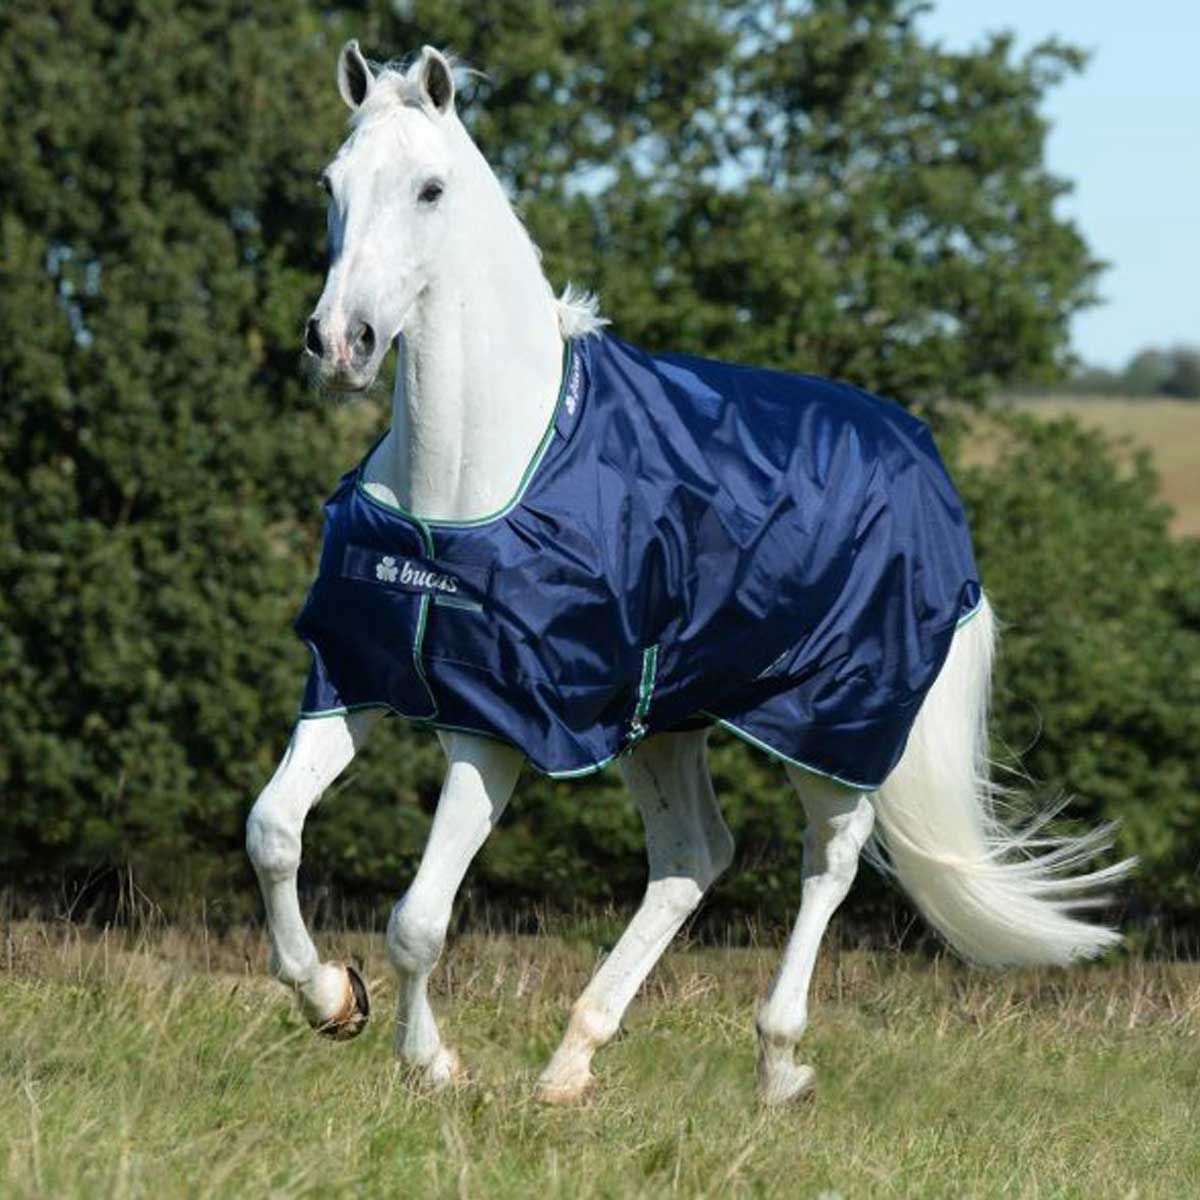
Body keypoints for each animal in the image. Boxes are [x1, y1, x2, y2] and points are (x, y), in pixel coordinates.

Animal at [245, 42, 1132, 1105]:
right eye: (330, 183)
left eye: (430, 188)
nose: (341, 344)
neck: (465, 484)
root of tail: (920, 455)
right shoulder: (357, 676)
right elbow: (273, 832)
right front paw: (332, 998)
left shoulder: (496, 726)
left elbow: (418, 920)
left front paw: (433, 1064)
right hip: (666, 719)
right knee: (693, 857)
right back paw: (572, 1062)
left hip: (831, 721)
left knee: (831, 860)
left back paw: (779, 1062)